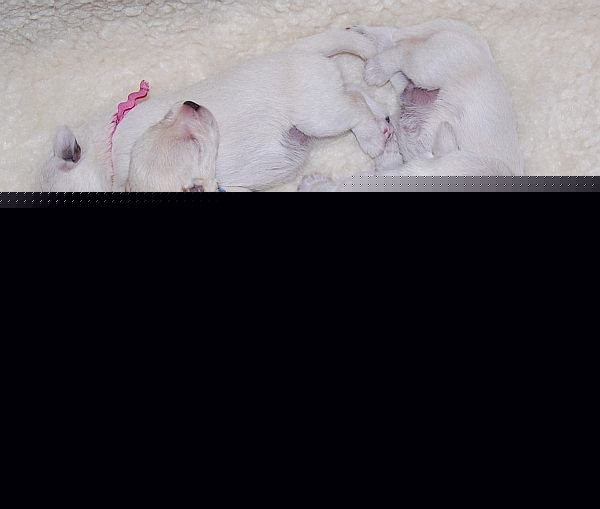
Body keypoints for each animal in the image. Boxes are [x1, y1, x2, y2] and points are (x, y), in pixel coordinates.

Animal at [40, 29, 392, 192]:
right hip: (327, 98)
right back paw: (383, 125)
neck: (107, 149)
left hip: (318, 114)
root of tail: (302, 50)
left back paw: (373, 139)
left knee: (356, 109)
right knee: (358, 92)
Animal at [299, 20, 524, 191]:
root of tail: (480, 48)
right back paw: (376, 67)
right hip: (429, 67)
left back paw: (364, 37)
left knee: (391, 42)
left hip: (408, 77)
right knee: (401, 50)